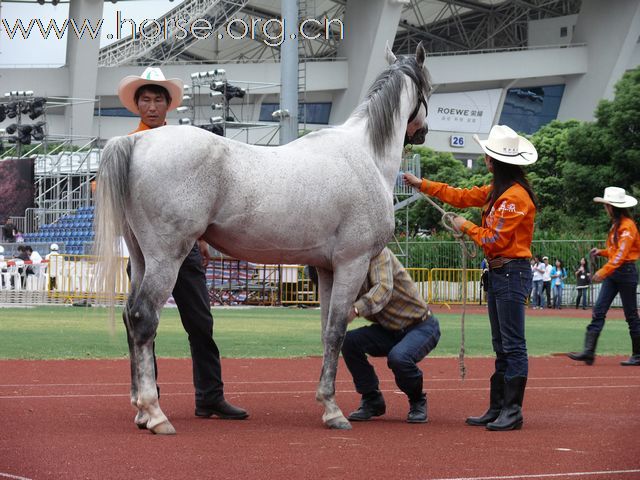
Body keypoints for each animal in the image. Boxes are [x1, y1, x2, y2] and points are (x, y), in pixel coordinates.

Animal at [95, 44, 432, 436]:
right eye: (429, 87)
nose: (422, 132)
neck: (365, 154)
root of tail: (135, 140)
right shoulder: (353, 262)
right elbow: (336, 332)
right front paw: (333, 411)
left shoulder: (327, 269)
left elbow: (326, 332)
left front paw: (327, 403)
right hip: (166, 259)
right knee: (143, 317)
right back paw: (155, 413)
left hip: (141, 257)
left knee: (130, 317)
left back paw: (141, 411)